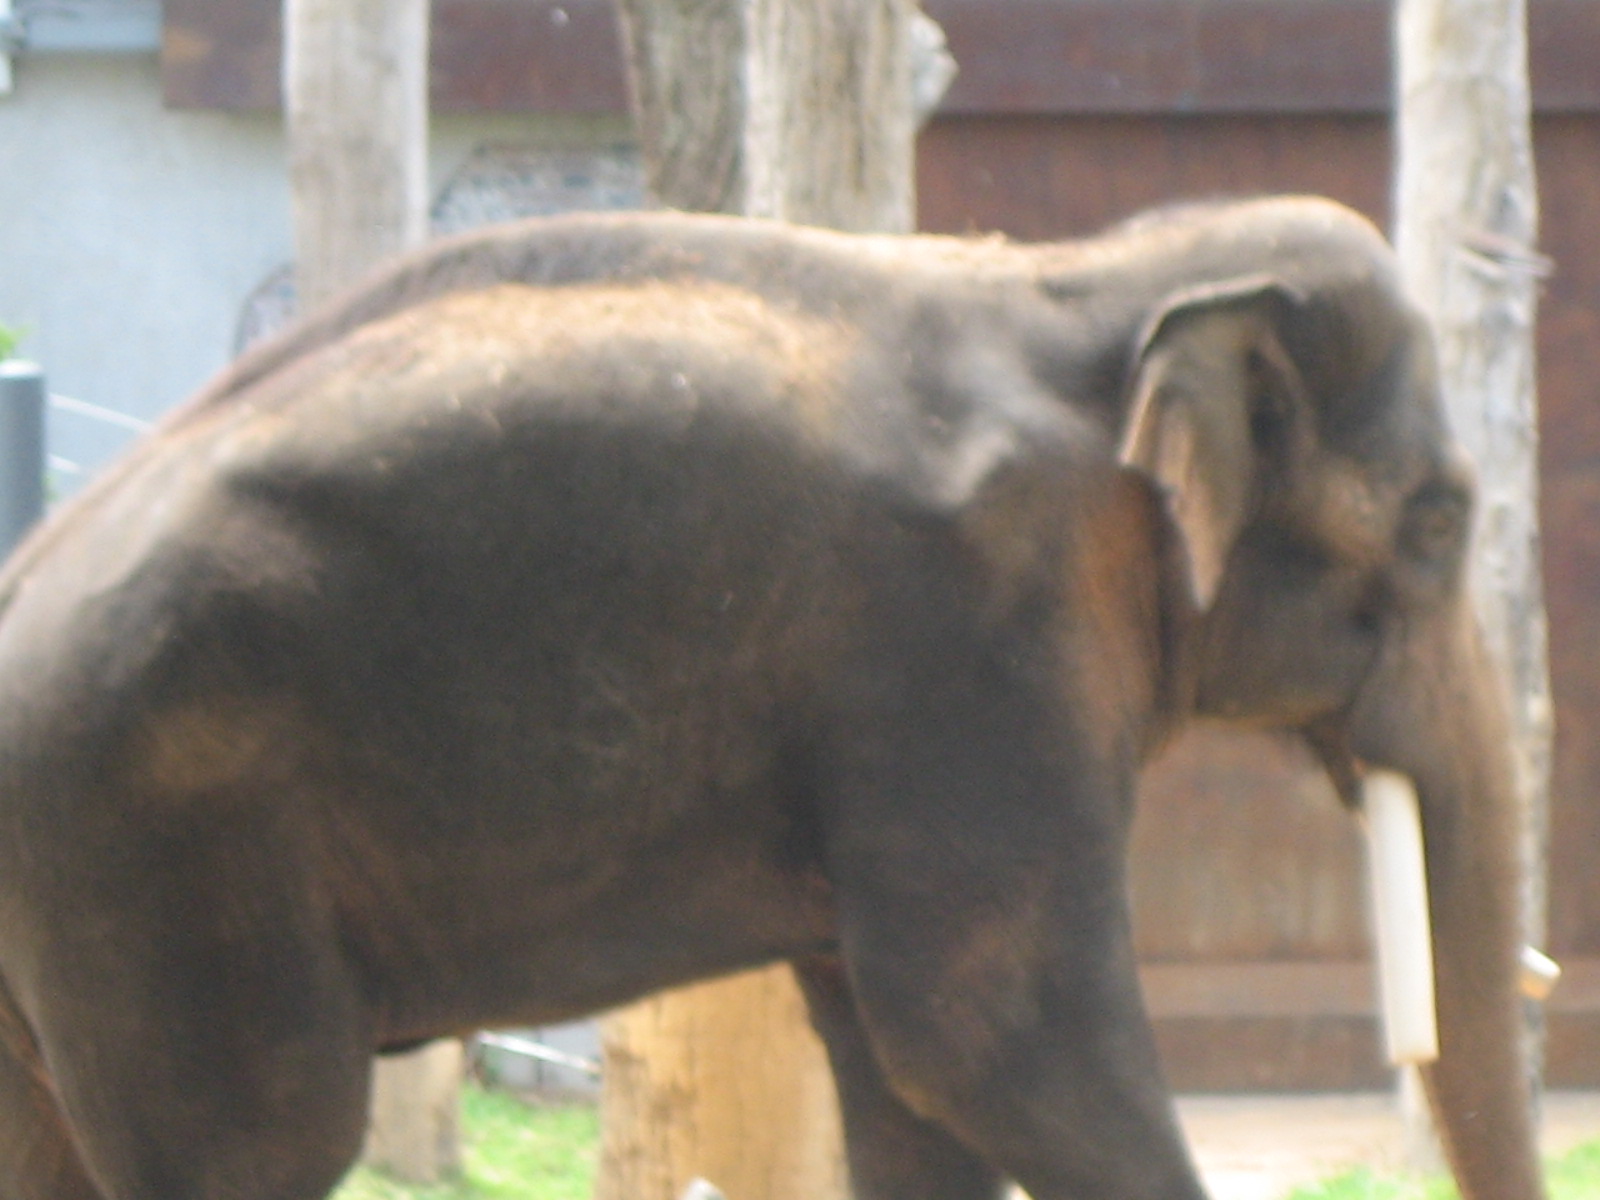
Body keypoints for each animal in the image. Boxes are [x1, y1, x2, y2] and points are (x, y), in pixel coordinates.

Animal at [0, 196, 1545, 1200]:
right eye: (1436, 526)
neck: (1094, 287)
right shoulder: (970, 657)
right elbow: (997, 1043)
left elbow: (906, 1081)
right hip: (152, 841)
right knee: (252, 1143)